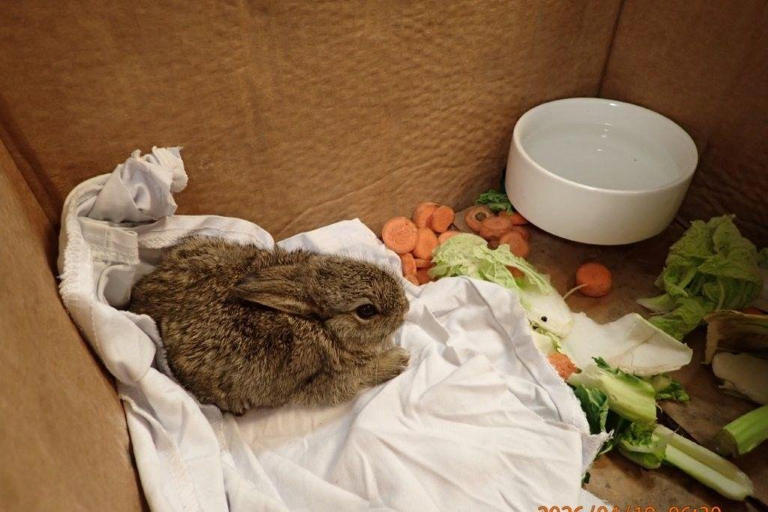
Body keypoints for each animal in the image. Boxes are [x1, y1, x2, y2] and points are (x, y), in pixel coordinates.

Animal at [128, 236, 410, 414]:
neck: (321, 325)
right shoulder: (324, 380)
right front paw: (399, 360)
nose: (406, 307)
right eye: (366, 311)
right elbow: (361, 375)